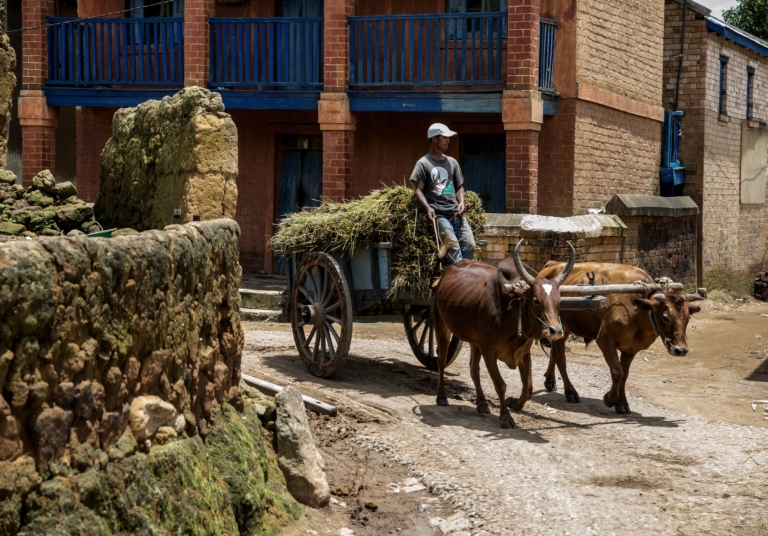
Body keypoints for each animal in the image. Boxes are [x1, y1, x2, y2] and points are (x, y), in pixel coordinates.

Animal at [432, 240, 575, 428]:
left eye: (559, 301)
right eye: (536, 300)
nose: (555, 330)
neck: (512, 312)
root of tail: (446, 272)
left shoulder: (523, 352)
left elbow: (528, 388)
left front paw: (513, 403)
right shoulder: (489, 351)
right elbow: (500, 384)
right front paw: (506, 417)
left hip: (474, 340)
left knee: (473, 369)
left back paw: (482, 403)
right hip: (441, 324)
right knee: (441, 359)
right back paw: (441, 396)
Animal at [536, 262, 704, 415]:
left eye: (688, 317)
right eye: (665, 317)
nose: (681, 350)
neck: (637, 309)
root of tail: (552, 264)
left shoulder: (631, 348)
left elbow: (625, 375)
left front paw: (622, 403)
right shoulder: (605, 340)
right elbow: (617, 372)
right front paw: (609, 399)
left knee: (554, 354)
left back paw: (549, 381)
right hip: (561, 328)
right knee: (561, 360)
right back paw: (571, 392)